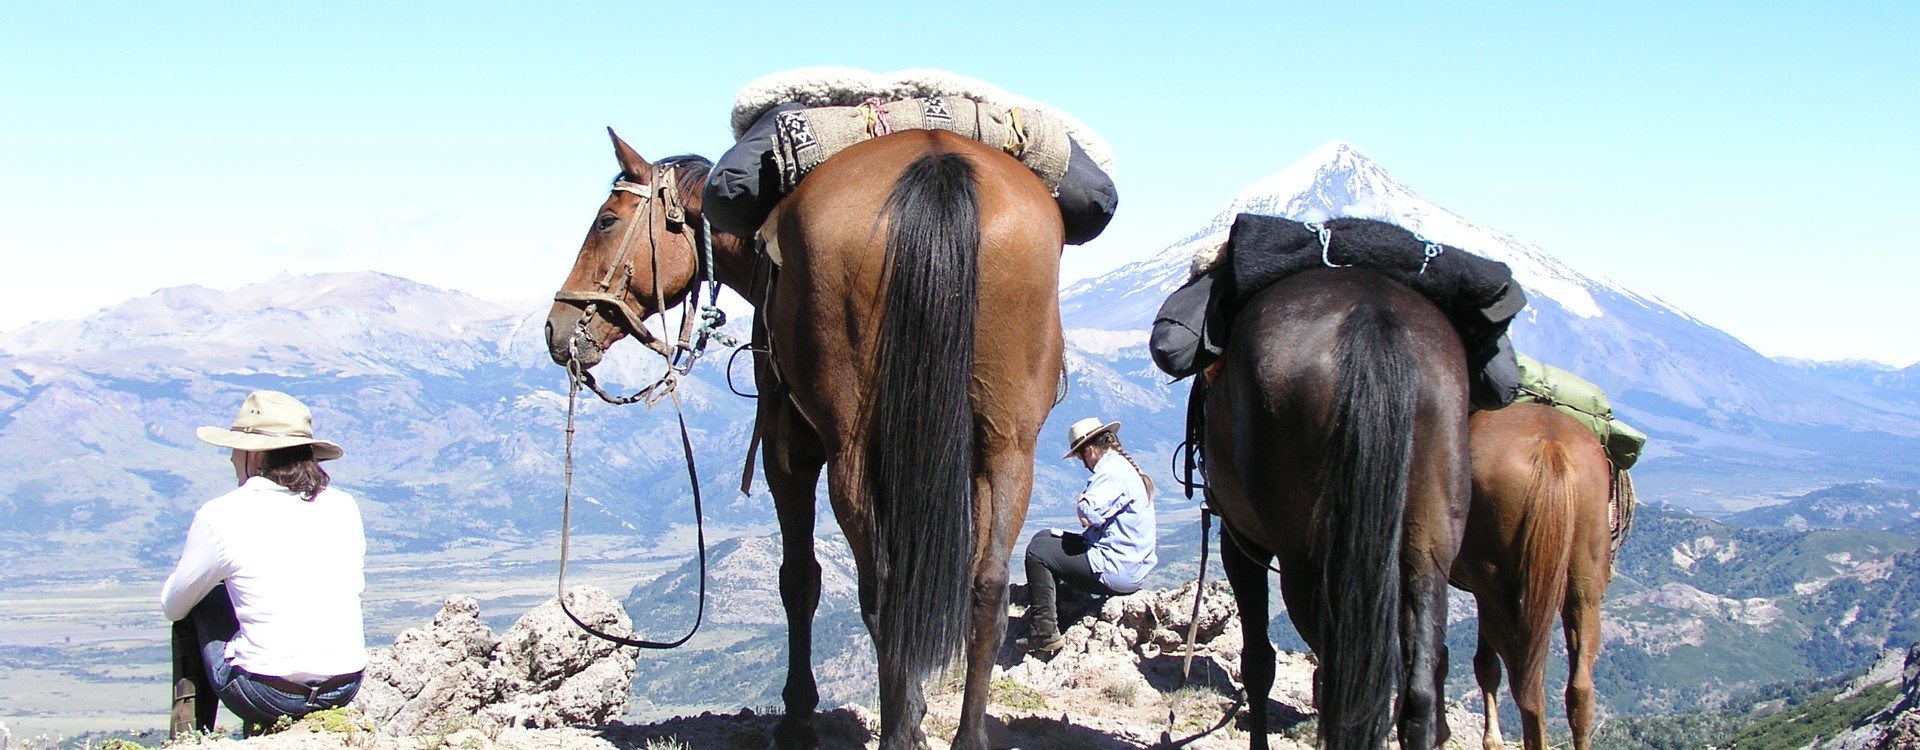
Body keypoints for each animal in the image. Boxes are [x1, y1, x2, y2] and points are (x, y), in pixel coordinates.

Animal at [549, 130, 1075, 750]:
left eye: (606, 221)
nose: (557, 328)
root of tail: (936, 158)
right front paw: (917, 707)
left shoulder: (788, 451)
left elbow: (798, 580)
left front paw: (799, 718)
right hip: (1008, 448)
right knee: (985, 588)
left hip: (852, 454)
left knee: (881, 594)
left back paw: (896, 735)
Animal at [1205, 266, 1474, 750]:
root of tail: (1372, 313)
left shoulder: (1241, 539)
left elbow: (1258, 663)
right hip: (1429, 545)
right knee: (1416, 686)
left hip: (1304, 563)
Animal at [1443, 404, 1612, 750]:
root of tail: (1550, 446)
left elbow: (1480, 664)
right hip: (1583, 590)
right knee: (1580, 690)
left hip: (1495, 587)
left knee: (1526, 686)